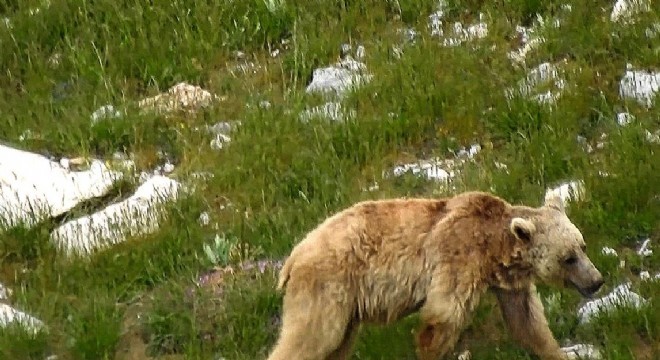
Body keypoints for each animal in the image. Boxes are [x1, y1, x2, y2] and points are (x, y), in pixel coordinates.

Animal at [266, 190, 604, 358]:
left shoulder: (509, 282)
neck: (494, 248)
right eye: (569, 258)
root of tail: (292, 258)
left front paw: (556, 352)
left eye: (582, 246)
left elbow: (528, 323)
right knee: (312, 338)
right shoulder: (457, 257)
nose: (596, 281)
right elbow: (441, 318)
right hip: (329, 288)